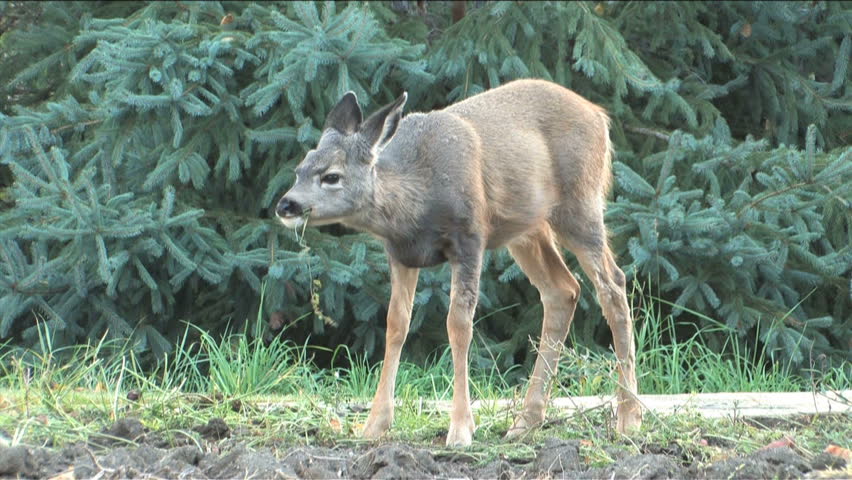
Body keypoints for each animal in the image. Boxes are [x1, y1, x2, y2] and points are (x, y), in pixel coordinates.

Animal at [276, 78, 642, 447]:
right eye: (299, 170)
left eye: (331, 176)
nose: (286, 204)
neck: (416, 200)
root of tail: (599, 116)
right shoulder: (401, 254)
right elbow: (396, 324)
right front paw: (375, 425)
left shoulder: (470, 238)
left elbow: (459, 325)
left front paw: (461, 429)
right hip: (526, 230)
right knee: (563, 290)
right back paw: (526, 422)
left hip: (580, 205)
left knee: (613, 284)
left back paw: (628, 418)